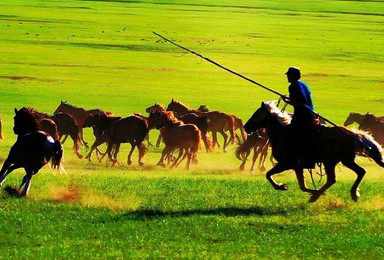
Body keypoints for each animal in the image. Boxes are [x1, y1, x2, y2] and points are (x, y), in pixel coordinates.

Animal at [246, 102, 384, 203]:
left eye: (256, 114)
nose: (246, 127)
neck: (282, 133)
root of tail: (353, 134)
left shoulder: (286, 164)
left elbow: (268, 175)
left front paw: (281, 186)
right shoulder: (297, 167)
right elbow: (302, 186)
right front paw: (314, 191)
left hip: (331, 162)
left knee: (332, 179)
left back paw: (316, 196)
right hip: (346, 160)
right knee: (360, 172)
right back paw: (352, 194)